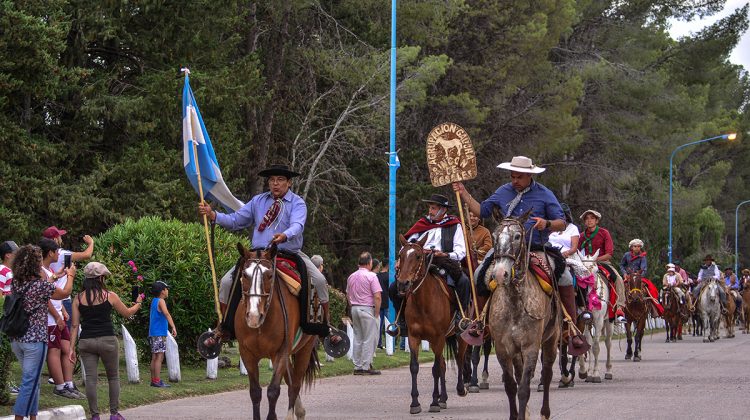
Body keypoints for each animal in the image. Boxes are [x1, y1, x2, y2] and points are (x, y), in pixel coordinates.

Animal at [235, 243, 318, 420]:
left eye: (269, 275)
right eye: (244, 275)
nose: (253, 316)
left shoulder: (281, 352)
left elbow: (273, 391)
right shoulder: (247, 353)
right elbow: (255, 392)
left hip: (304, 349)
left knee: (295, 385)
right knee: (291, 380)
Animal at [396, 235, 468, 416]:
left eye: (418, 256)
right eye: (400, 255)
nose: (403, 284)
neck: (423, 303)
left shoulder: (438, 337)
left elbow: (435, 369)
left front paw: (434, 401)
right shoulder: (414, 337)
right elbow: (415, 367)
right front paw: (415, 403)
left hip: (460, 335)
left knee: (459, 358)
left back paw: (460, 389)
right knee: (443, 364)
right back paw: (444, 399)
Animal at [572, 251, 612, 382]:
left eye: (596, 270)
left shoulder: (599, 321)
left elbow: (595, 347)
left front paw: (595, 374)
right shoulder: (583, 320)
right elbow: (587, 344)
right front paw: (586, 372)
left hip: (609, 321)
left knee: (608, 343)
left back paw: (608, 371)